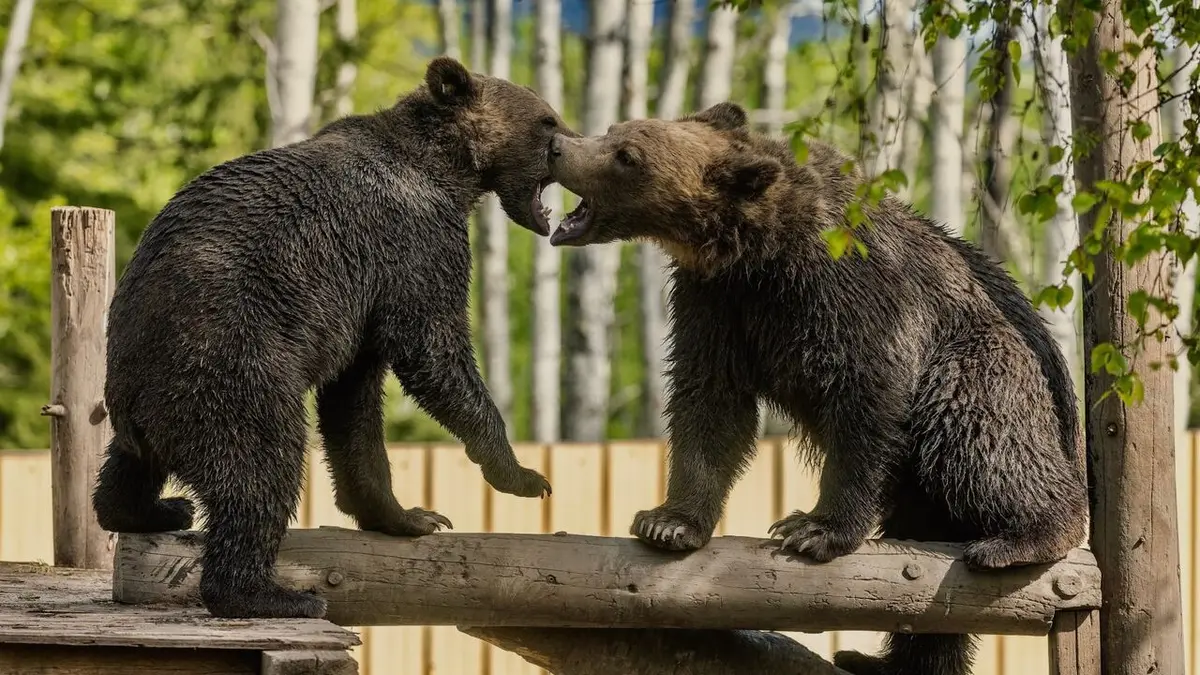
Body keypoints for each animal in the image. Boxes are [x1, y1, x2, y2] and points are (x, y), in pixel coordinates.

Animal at [92, 57, 568, 620]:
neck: (446, 169)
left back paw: (153, 509)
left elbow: (354, 406)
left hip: (144, 389)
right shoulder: (412, 243)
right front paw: (522, 475)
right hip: (227, 362)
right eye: (548, 119)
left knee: (127, 466)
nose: (570, 144)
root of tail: (133, 399)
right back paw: (271, 594)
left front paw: (410, 515)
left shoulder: (360, 304)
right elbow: (432, 348)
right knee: (261, 465)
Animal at [543, 101, 1089, 675]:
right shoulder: (718, 305)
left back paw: (1024, 537)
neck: (762, 254)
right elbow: (710, 403)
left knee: (981, 434)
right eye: (613, 132)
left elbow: (866, 400)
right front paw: (668, 521)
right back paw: (885, 660)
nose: (558, 145)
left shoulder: (853, 296)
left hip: (981, 364)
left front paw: (813, 528)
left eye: (627, 155)